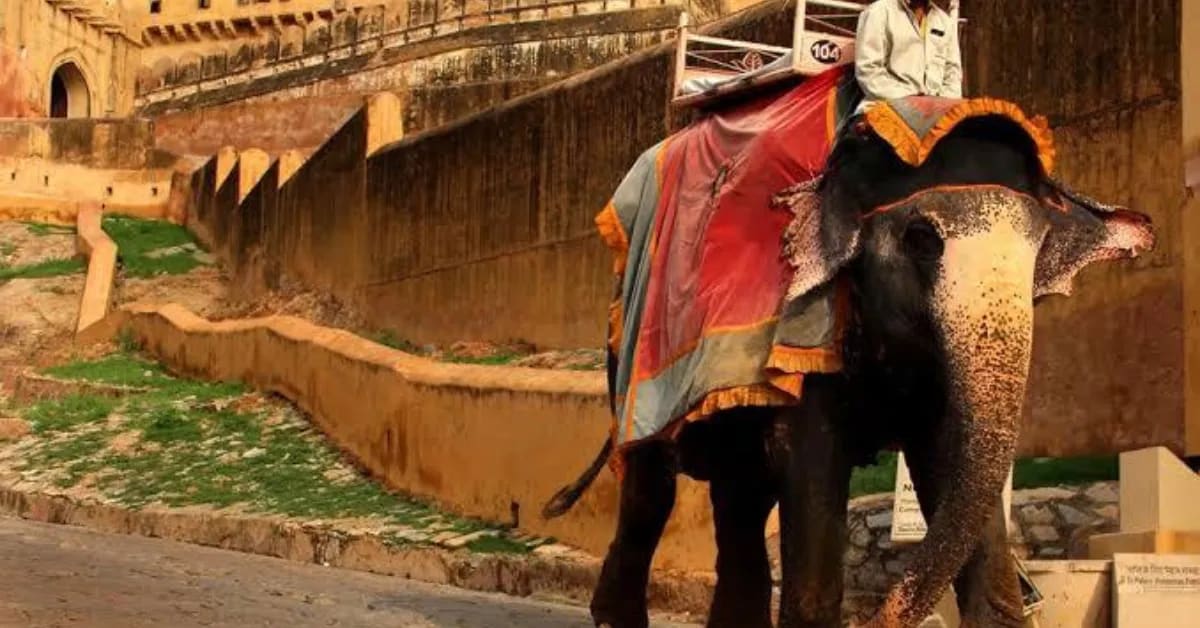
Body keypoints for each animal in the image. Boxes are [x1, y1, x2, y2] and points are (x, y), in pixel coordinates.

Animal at [542, 111, 1153, 628]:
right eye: (921, 239)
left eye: (1041, 245)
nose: (884, 612)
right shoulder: (805, 324)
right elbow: (813, 462)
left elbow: (948, 461)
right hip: (630, 364)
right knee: (652, 491)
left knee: (740, 500)